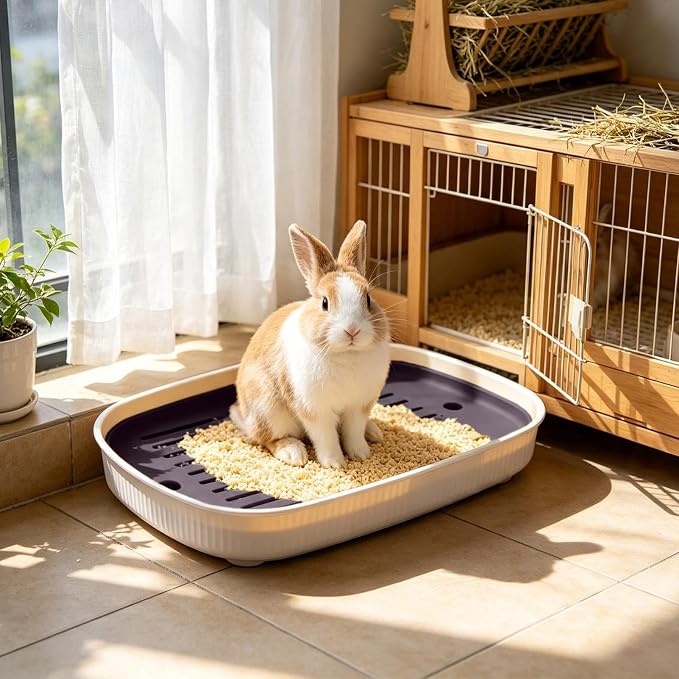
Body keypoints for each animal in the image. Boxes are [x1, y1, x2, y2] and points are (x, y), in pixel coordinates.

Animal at [229, 220, 390, 469]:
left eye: (369, 299)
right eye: (324, 303)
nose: (352, 330)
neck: (346, 354)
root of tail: (246, 418)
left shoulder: (358, 407)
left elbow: (353, 432)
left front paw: (360, 454)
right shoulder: (315, 410)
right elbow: (325, 437)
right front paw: (335, 463)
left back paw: (374, 432)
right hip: (269, 412)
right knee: (266, 439)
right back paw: (293, 453)